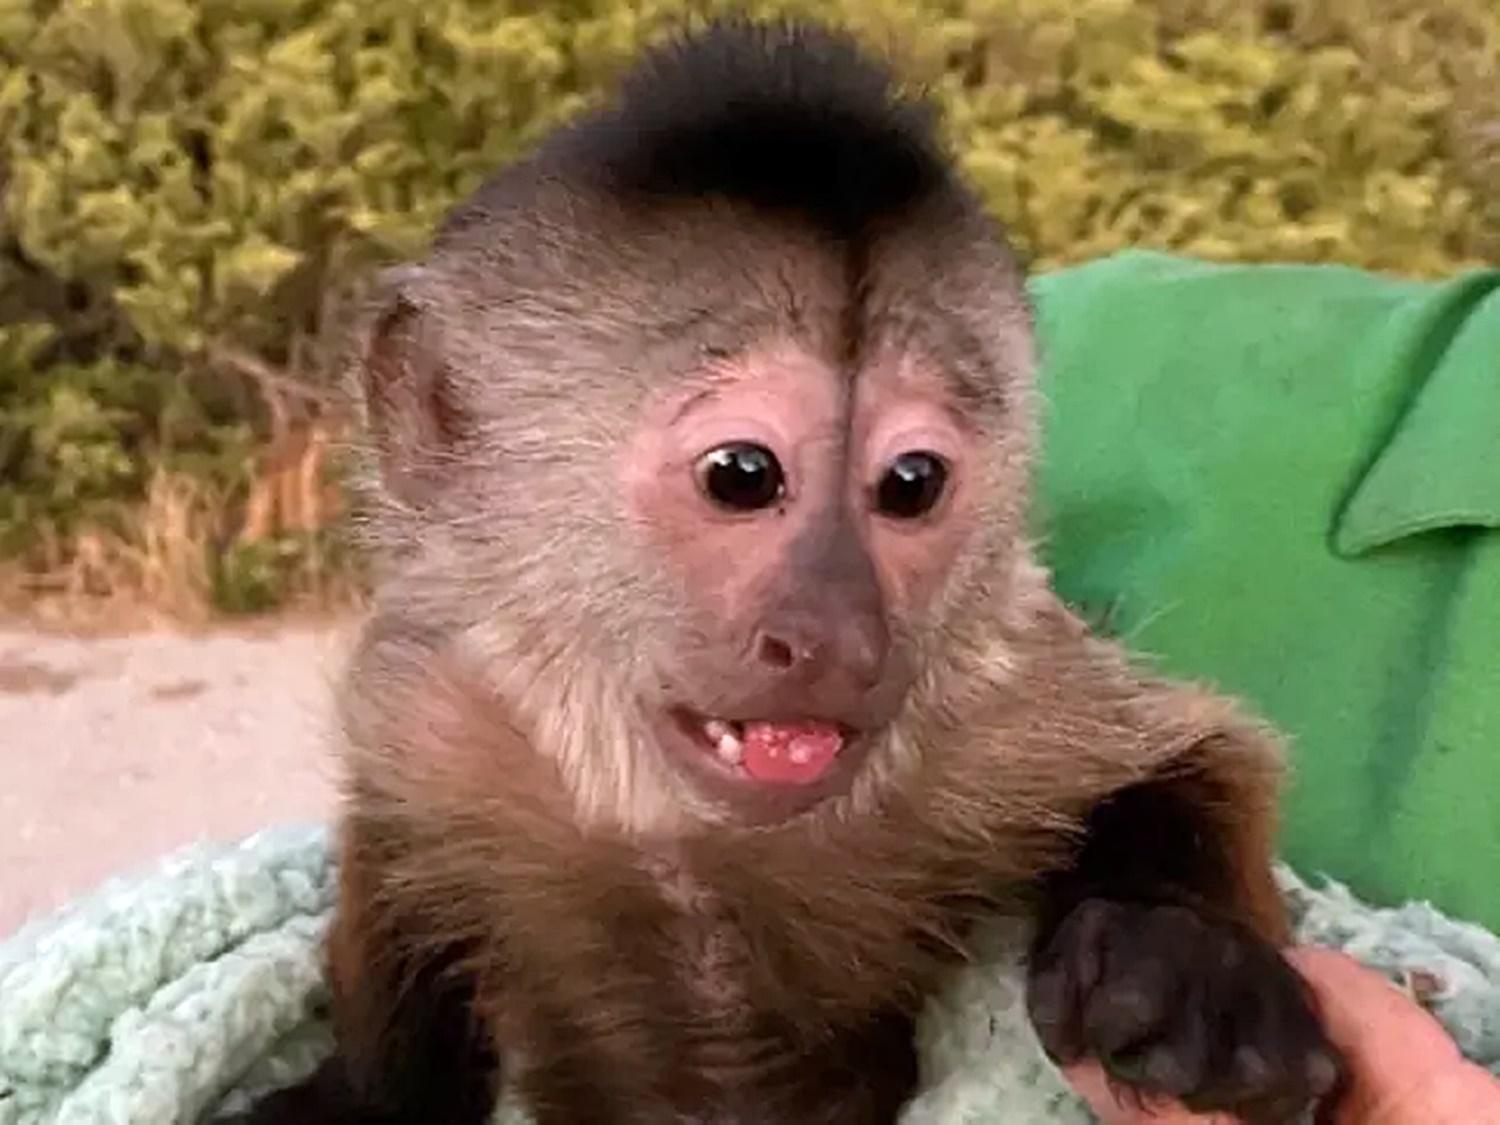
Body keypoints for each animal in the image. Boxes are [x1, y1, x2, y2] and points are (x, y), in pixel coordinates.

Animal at [237, 20, 1344, 1125]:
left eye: (911, 483)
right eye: (742, 474)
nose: (838, 637)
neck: (687, 833)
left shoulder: (996, 700)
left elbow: (1197, 750)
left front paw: (1184, 946)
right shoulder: (436, 706)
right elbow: (394, 851)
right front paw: (357, 1094)